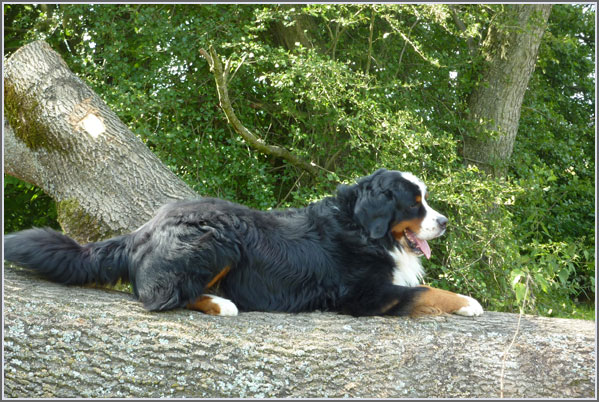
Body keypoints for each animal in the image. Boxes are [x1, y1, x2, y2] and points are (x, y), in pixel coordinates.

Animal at [4, 169, 483, 317]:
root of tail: (145, 227)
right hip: (217, 238)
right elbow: (425, 292)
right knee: (160, 296)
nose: (444, 222)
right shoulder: (365, 295)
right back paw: (221, 303)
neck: (360, 228)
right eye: (415, 203)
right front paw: (468, 302)